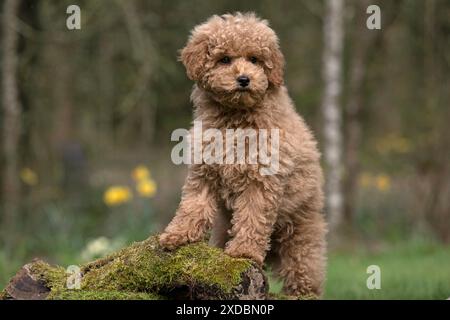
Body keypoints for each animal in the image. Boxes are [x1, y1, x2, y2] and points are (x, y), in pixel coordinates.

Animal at [160, 12, 328, 298]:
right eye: (225, 59)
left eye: (255, 60)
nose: (244, 79)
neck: (235, 118)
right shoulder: (204, 171)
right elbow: (193, 206)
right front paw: (177, 235)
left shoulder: (261, 180)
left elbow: (253, 216)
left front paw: (244, 251)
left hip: (302, 238)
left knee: (305, 275)